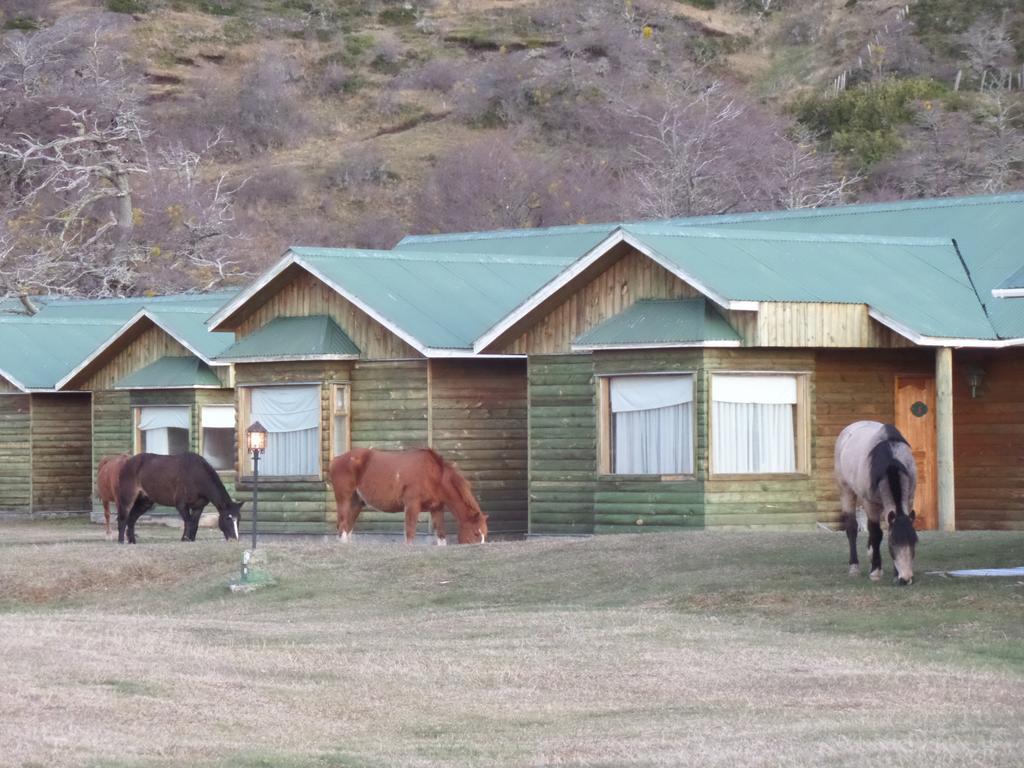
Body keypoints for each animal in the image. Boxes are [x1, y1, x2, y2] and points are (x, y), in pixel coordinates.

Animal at [327, 444, 487, 548]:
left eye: (485, 533)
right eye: (476, 533)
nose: (480, 547)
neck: (434, 475)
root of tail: (336, 460)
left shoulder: (436, 508)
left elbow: (441, 535)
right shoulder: (412, 505)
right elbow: (410, 532)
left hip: (357, 502)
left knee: (347, 526)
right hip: (344, 499)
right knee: (342, 525)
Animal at [831, 423, 921, 585]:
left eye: (914, 542)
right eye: (892, 543)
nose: (905, 579)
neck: (891, 459)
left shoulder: (909, 500)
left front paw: (894, 573)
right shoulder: (870, 504)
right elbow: (876, 533)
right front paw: (875, 571)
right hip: (846, 491)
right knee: (852, 528)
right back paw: (854, 566)